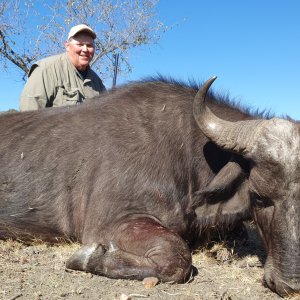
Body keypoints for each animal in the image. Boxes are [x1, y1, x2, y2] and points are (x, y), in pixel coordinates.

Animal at [0, 76, 300, 296]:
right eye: (259, 197)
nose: (291, 285)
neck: (186, 153)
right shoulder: (112, 224)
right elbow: (176, 257)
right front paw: (87, 257)